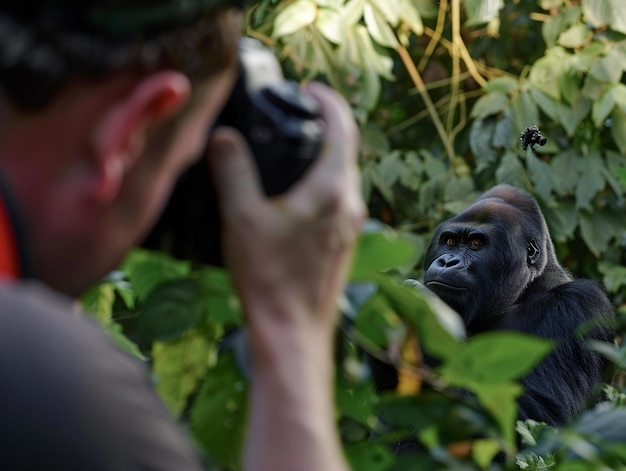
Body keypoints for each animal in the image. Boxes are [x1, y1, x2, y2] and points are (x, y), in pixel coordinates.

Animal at [372, 184, 612, 428]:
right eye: (450, 242)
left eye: (476, 244)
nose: (447, 262)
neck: (524, 292)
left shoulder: (578, 307)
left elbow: (540, 413)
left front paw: (427, 318)